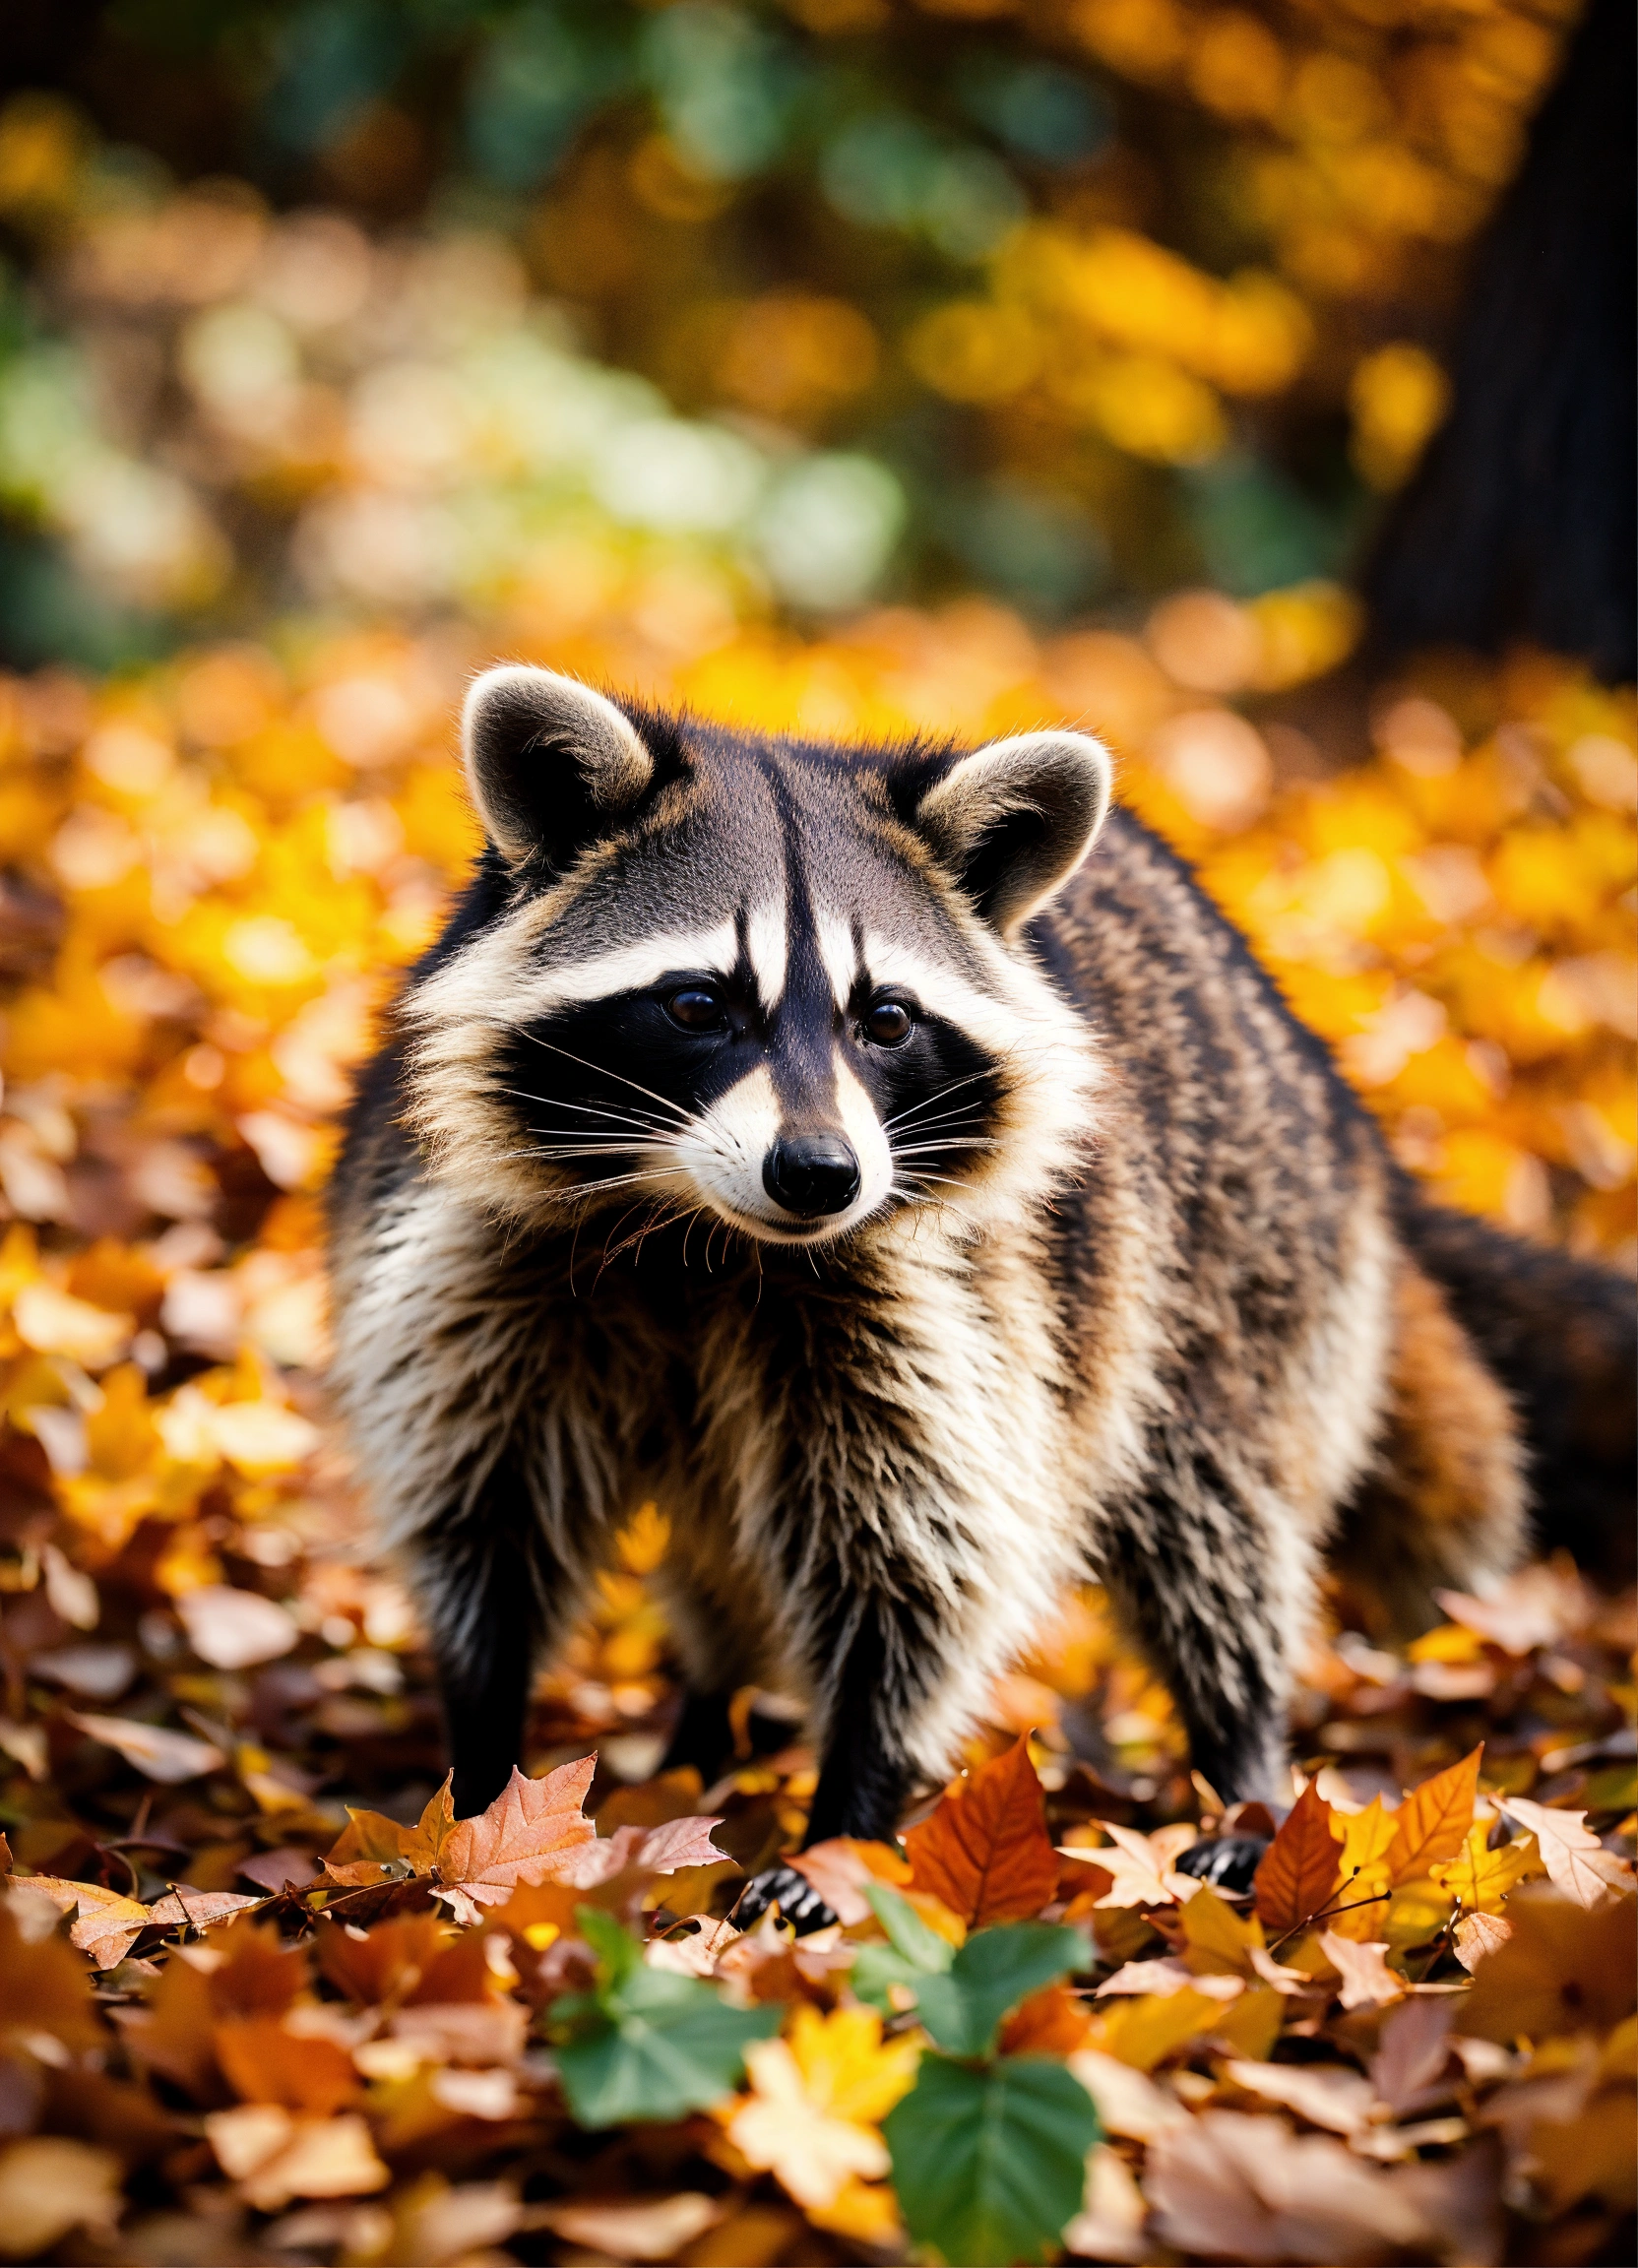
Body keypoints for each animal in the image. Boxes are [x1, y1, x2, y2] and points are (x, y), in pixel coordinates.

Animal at [329, 666, 1634, 1919]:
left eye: (885, 1019)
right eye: (699, 1003)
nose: (819, 1174)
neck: (700, 1239)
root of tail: (1328, 1090)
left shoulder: (944, 1307)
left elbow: (917, 1556)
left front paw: (848, 1812)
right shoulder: (476, 1266)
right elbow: (485, 1515)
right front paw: (484, 1787)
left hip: (1228, 1273)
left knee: (1211, 1524)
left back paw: (1240, 1761)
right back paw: (708, 1723)